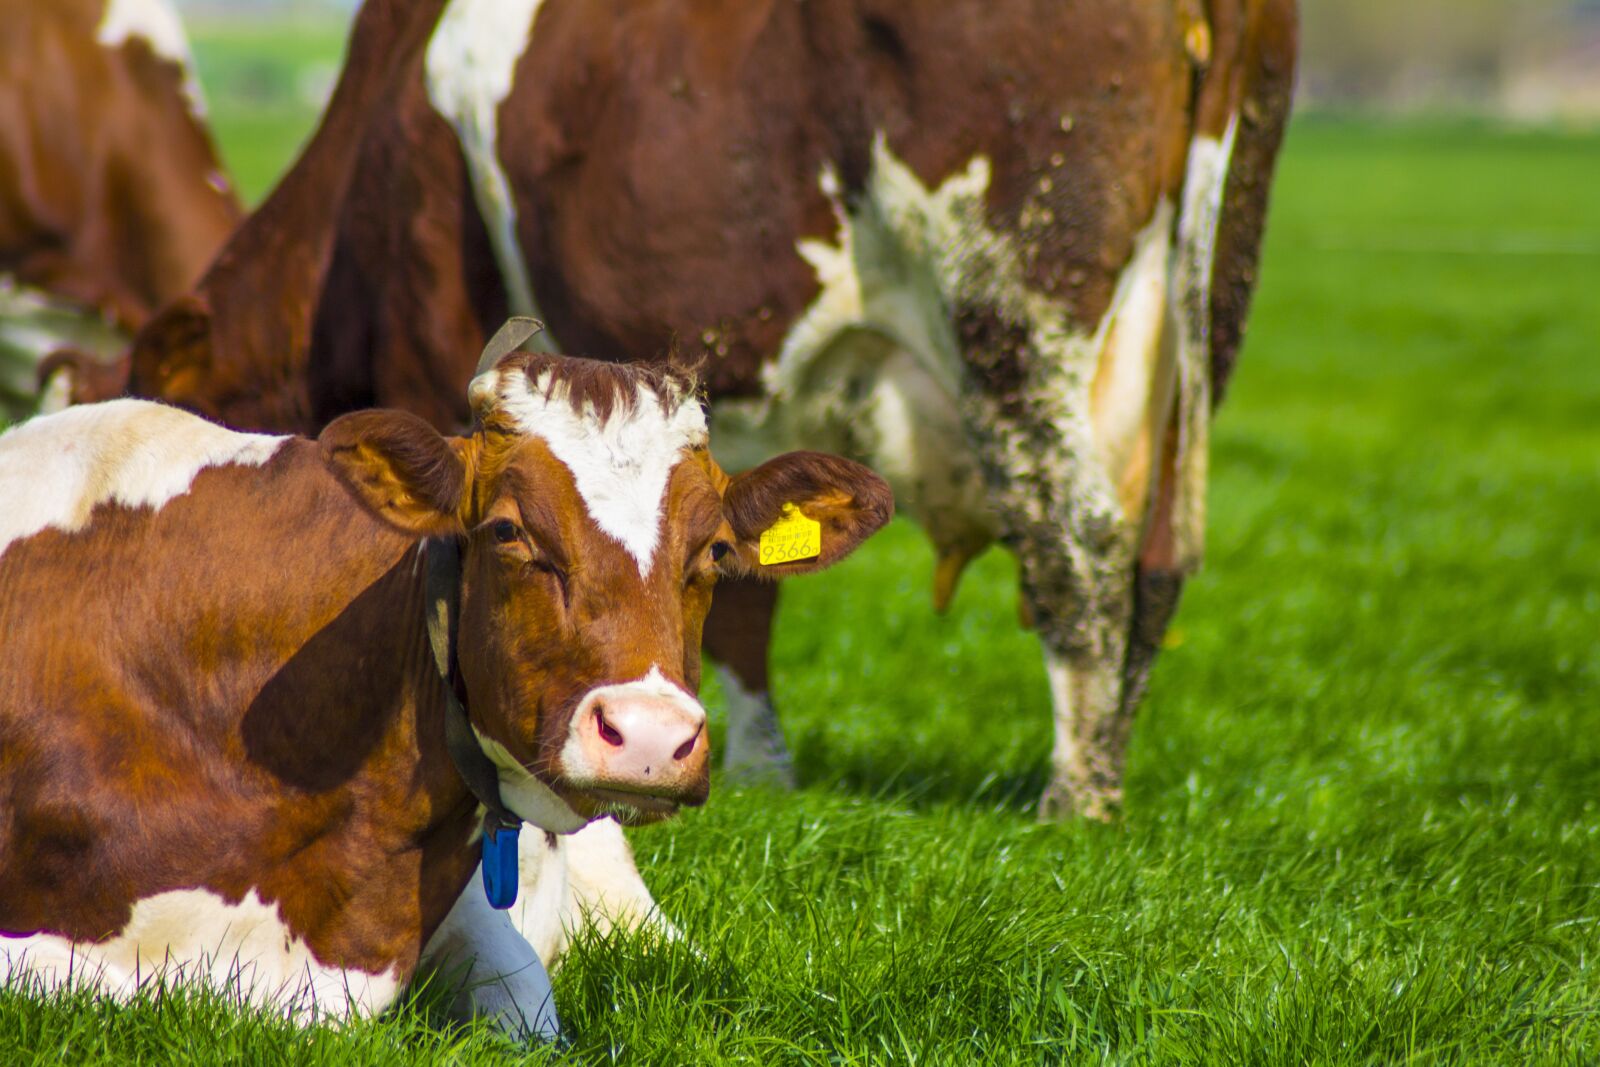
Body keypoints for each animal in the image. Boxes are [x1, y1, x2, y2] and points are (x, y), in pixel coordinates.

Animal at [65, 0, 1299, 821]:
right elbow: (743, 589)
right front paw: (759, 767)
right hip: (1197, 325)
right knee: (1156, 563)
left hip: (1013, 307)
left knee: (1077, 552)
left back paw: (1072, 802)